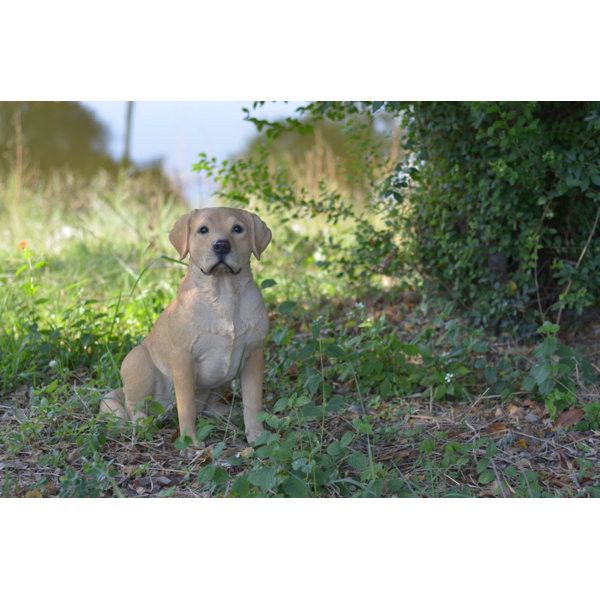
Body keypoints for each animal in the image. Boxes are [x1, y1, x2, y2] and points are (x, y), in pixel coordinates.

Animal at [100, 206, 272, 446]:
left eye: (238, 229)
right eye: (203, 230)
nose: (221, 245)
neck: (223, 294)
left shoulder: (254, 355)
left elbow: (253, 401)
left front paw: (257, 435)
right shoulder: (183, 358)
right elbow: (186, 406)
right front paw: (190, 441)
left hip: (221, 382)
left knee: (210, 405)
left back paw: (227, 412)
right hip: (137, 361)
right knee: (133, 406)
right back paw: (144, 424)